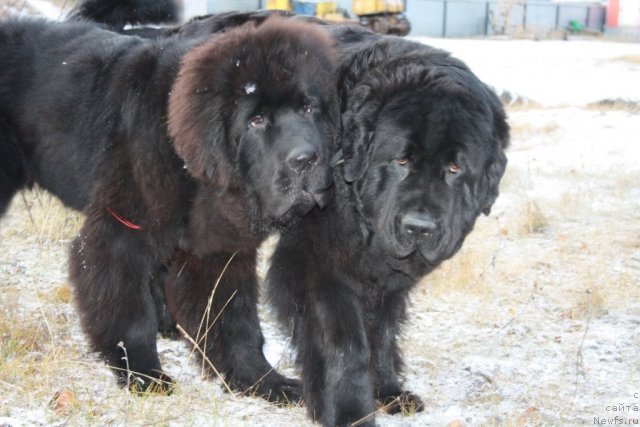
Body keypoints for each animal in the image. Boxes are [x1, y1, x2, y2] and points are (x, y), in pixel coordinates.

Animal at [0, 15, 340, 402]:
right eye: (256, 121)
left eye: (308, 108)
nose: (306, 159)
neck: (186, 159)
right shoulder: (122, 233)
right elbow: (132, 314)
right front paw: (144, 375)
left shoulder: (217, 248)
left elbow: (234, 319)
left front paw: (263, 380)